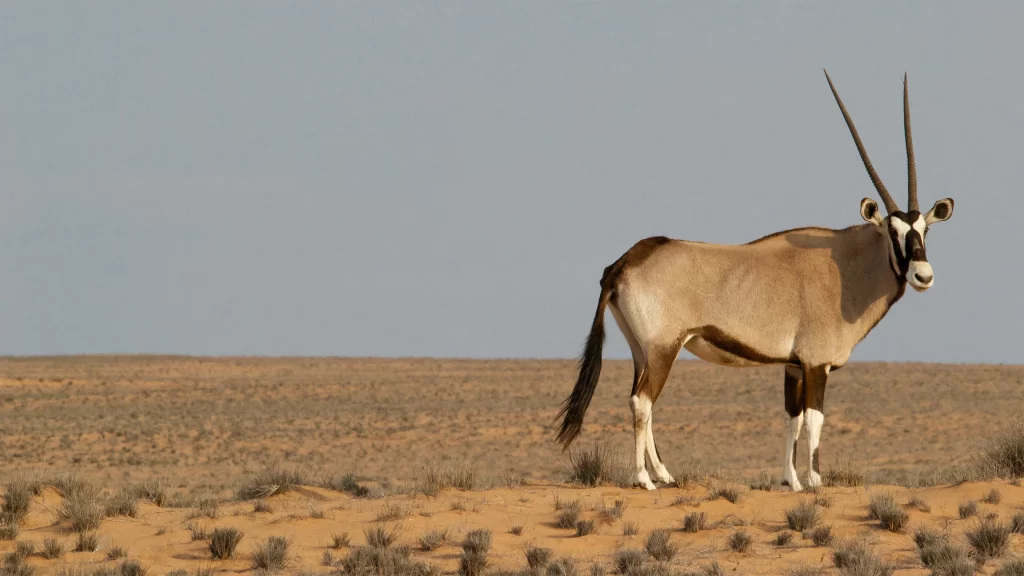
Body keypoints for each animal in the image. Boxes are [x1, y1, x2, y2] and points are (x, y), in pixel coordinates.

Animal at [554, 70, 955, 491]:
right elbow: (815, 421)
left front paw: (791, 481)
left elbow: (792, 419)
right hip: (664, 348)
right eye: (893, 232)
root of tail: (622, 263)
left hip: (640, 351)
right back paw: (644, 479)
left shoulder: (793, 365)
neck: (844, 266)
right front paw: (815, 481)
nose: (923, 275)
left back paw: (664, 473)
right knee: (642, 402)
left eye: (924, 229)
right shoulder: (816, 364)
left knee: (639, 398)